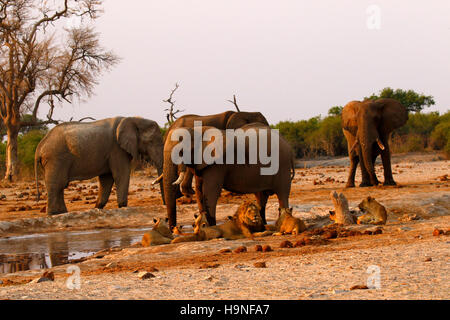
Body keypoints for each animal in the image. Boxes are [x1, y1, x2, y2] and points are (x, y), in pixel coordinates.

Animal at [34, 116, 163, 216]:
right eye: (151, 142)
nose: (164, 205)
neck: (133, 118)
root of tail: (39, 147)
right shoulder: (117, 149)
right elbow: (121, 174)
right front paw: (122, 206)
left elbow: (107, 179)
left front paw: (97, 208)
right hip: (56, 159)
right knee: (57, 185)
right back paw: (54, 214)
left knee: (59, 186)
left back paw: (61, 213)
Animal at [165, 122, 296, 225]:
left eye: (181, 150)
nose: (173, 230)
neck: (197, 130)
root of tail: (288, 145)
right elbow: (199, 190)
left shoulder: (217, 164)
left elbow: (210, 191)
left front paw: (210, 226)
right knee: (261, 196)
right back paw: (262, 224)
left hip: (282, 165)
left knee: (282, 194)